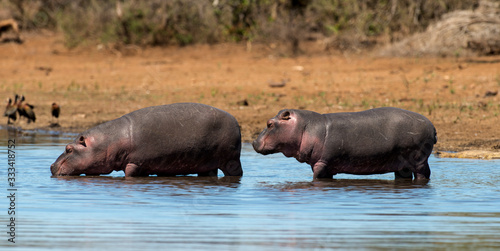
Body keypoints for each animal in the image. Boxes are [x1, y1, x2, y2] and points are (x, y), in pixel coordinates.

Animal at [51, 103, 244, 177]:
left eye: (68, 149)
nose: (52, 166)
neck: (109, 141)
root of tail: (236, 121)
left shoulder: (135, 163)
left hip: (231, 160)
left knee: (236, 172)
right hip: (207, 163)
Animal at [252, 107, 436, 179]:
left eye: (269, 124)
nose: (253, 142)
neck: (306, 126)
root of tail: (432, 126)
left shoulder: (322, 163)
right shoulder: (324, 165)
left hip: (418, 160)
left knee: (424, 175)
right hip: (402, 165)